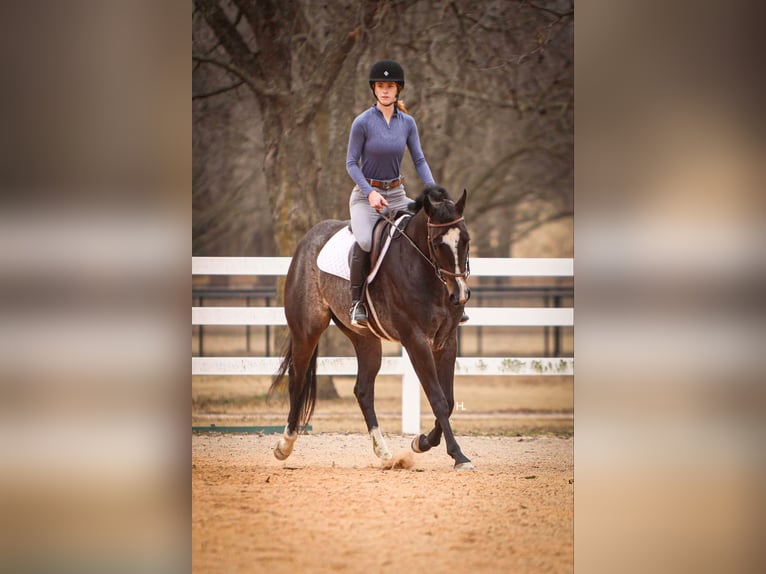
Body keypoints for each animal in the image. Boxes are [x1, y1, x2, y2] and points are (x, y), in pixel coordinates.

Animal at [269, 184, 474, 470]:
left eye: (465, 240)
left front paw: (421, 442)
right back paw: (284, 445)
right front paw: (458, 455)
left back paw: (384, 452)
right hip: (306, 332)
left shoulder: (446, 341)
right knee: (296, 381)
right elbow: (438, 400)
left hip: (365, 339)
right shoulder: (416, 341)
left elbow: (450, 400)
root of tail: (309, 238)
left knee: (363, 389)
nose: (460, 295)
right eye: (435, 243)